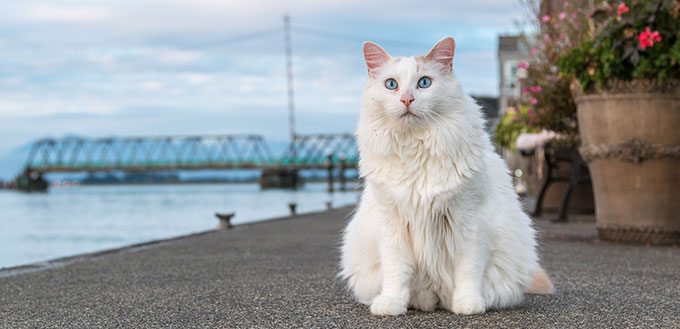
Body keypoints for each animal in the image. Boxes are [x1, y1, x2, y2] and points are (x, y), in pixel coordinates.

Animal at [340, 36, 552, 316]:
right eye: (391, 85)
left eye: (424, 83)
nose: (406, 100)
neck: (416, 148)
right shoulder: (392, 223)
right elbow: (396, 272)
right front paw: (391, 304)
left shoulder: (469, 221)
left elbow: (468, 271)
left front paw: (468, 304)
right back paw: (420, 300)